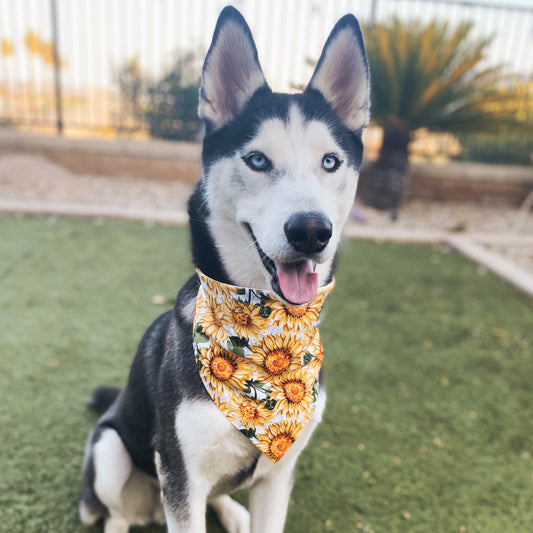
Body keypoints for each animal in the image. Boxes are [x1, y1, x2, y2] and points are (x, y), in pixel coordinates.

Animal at [80, 5, 370, 532]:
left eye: (330, 162)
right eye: (256, 160)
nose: (311, 231)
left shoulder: (279, 475)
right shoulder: (180, 474)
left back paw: (232, 512)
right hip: (112, 452)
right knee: (114, 514)